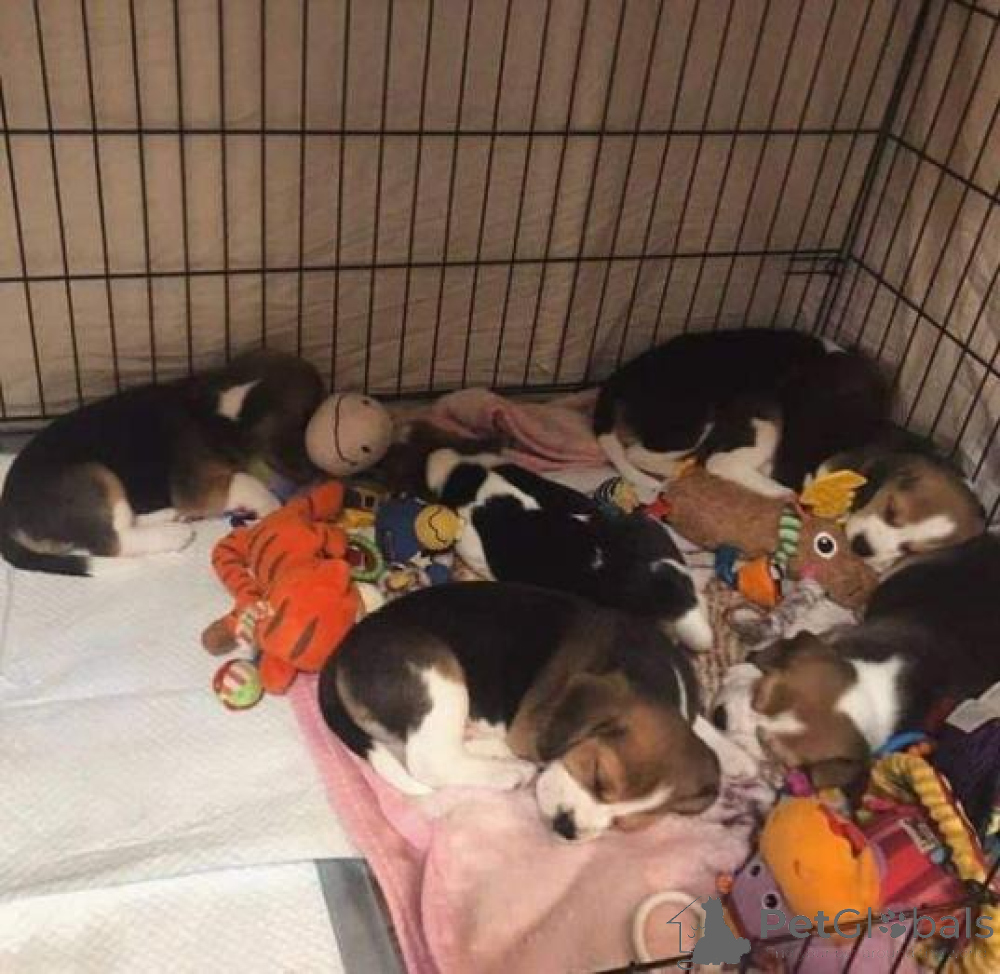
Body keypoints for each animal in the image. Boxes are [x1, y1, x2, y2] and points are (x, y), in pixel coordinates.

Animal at [0, 350, 324, 575]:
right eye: (311, 414)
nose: (316, 472)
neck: (219, 406)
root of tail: (7, 514)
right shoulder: (198, 487)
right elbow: (248, 482)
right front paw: (271, 507)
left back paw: (169, 515)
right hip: (94, 476)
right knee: (115, 542)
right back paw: (175, 533)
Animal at [319, 582, 722, 840]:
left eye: (626, 825)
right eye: (597, 777)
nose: (567, 828)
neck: (656, 679)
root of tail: (344, 647)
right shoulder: (530, 730)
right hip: (439, 672)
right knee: (428, 759)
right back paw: (508, 772)